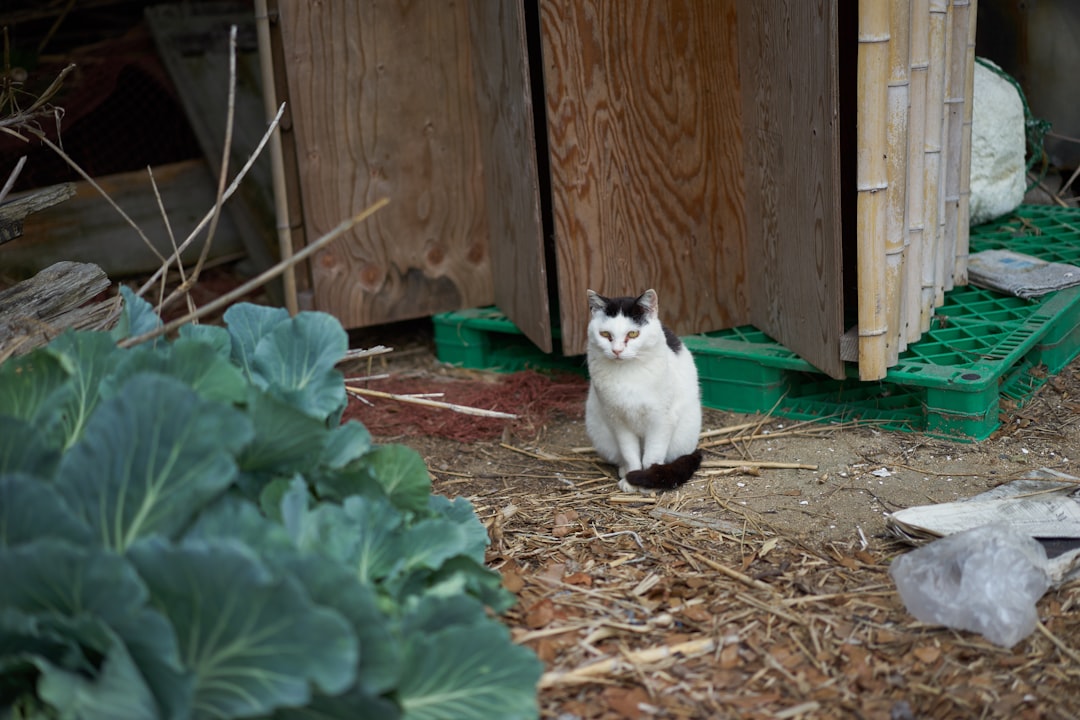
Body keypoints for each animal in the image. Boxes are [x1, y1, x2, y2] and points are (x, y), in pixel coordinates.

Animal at [587, 289, 704, 492]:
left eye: (633, 334)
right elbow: (630, 453)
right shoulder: (618, 421)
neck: (628, 373)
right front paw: (631, 479)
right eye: (605, 334)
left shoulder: (661, 420)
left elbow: (652, 455)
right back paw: (625, 470)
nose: (617, 350)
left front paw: (648, 481)